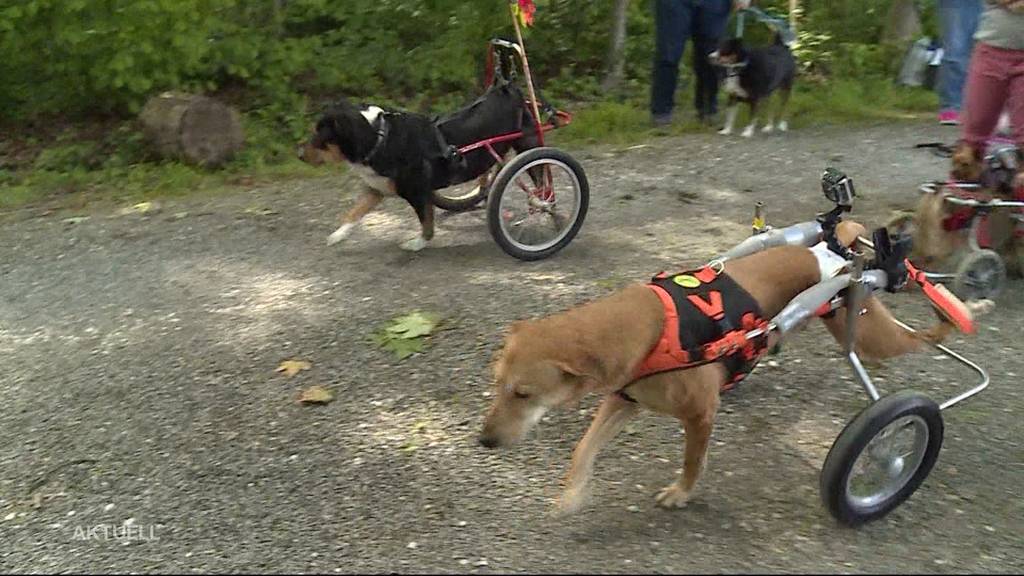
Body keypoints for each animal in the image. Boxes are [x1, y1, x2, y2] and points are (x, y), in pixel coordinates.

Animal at [299, 79, 544, 249]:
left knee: (541, 179)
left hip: (528, 146)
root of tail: (506, 88)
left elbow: (426, 222)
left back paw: (543, 203)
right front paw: (339, 234)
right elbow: (353, 212)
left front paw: (418, 243)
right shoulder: (376, 188)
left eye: (319, 137)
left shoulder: (417, 193)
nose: (299, 154)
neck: (380, 139)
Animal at [479, 219, 991, 510]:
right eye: (497, 383)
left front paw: (682, 493)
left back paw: (965, 311)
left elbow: (692, 460)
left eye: (523, 393)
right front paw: (571, 498)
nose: (484, 441)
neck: (644, 325)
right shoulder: (623, 400)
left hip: (867, 330)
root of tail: (833, 250)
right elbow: (583, 451)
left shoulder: (699, 414)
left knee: (923, 336)